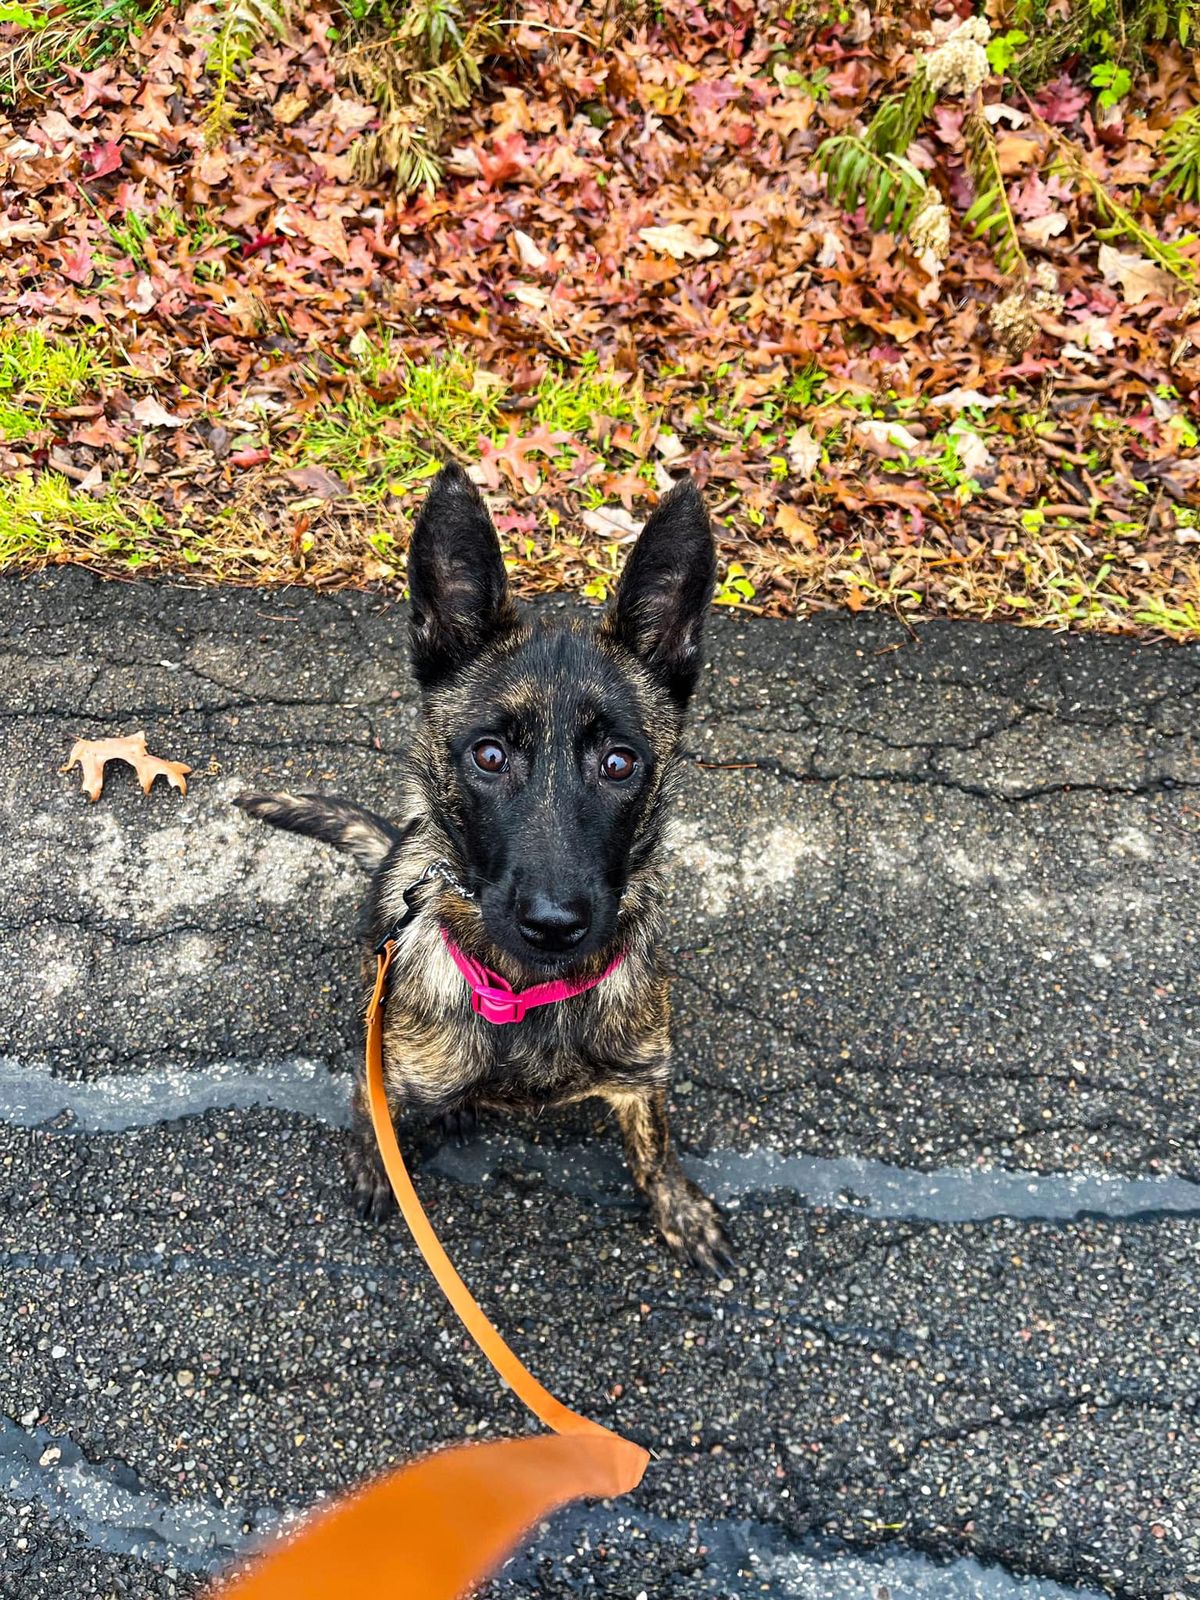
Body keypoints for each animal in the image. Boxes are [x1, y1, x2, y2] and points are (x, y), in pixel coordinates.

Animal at [232, 467, 729, 1273]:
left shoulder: (640, 1081)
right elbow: (366, 1110)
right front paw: (376, 1164)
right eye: (489, 755)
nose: (553, 924)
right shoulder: (387, 1073)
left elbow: (656, 1149)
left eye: (620, 763)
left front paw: (677, 1207)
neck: (528, 994)